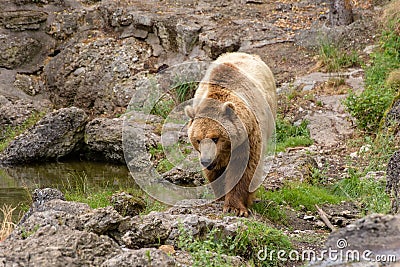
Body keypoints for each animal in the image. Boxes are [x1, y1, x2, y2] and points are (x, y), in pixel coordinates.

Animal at [185, 52, 276, 218]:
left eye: (215, 138)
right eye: (198, 140)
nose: (206, 161)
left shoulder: (249, 137)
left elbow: (243, 169)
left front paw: (235, 207)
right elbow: (215, 173)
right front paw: (221, 196)